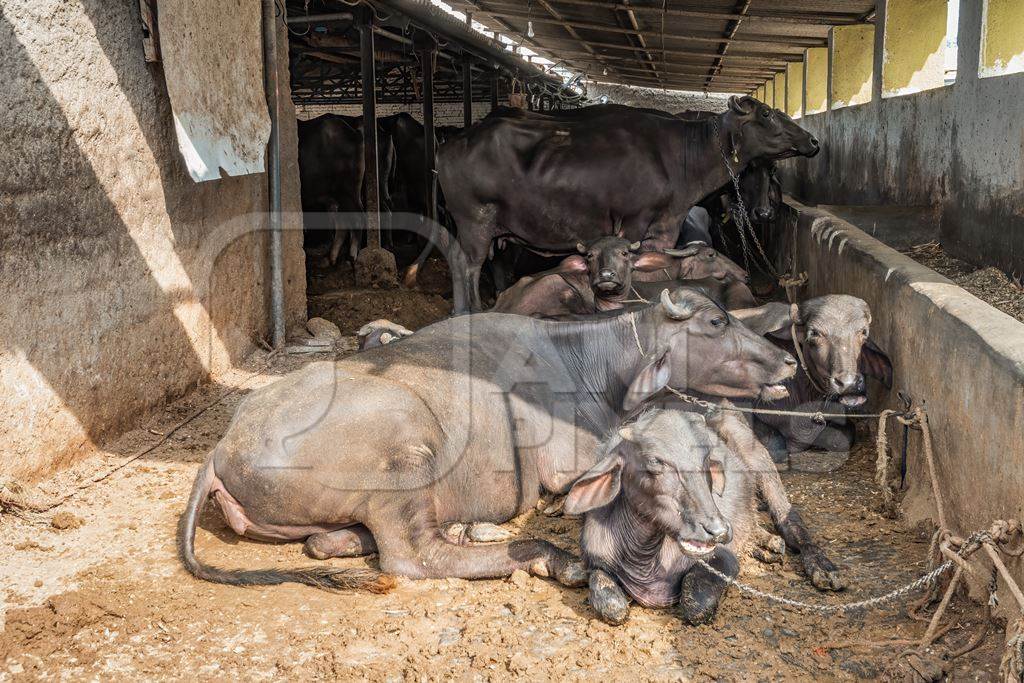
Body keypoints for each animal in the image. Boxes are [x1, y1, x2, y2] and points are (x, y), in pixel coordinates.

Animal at [180, 288, 794, 593]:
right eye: (715, 323)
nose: (787, 359)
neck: (585, 364)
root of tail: (221, 447)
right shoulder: (568, 465)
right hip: (408, 449)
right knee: (413, 555)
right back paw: (547, 557)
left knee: (327, 542)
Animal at [565, 409, 757, 626]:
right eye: (655, 461)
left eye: (707, 458)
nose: (718, 531)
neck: (645, 557)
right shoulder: (595, 559)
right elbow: (610, 602)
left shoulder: (725, 557)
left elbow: (697, 606)